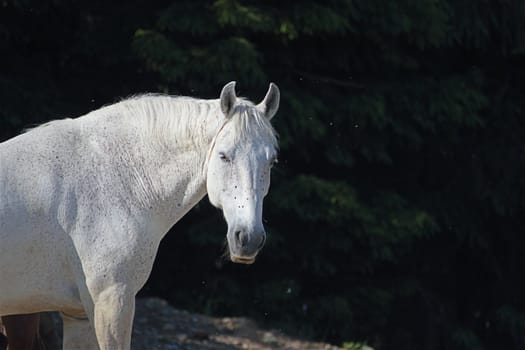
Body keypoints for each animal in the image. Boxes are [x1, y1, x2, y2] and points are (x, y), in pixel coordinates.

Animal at [0, 80, 278, 348]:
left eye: (272, 161)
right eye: (224, 156)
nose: (249, 239)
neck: (116, 177)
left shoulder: (77, 316)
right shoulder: (113, 303)